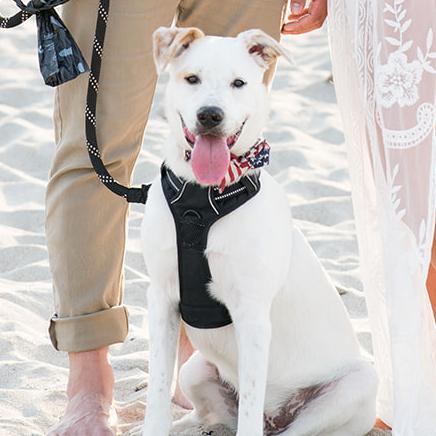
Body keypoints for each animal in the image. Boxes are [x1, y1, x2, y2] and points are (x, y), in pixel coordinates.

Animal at [141, 26, 378, 436]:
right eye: (192, 79)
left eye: (239, 83)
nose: (210, 116)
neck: (203, 199)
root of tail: (277, 415)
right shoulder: (162, 301)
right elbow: (156, 395)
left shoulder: (250, 315)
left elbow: (250, 405)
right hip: (195, 371)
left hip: (356, 385)